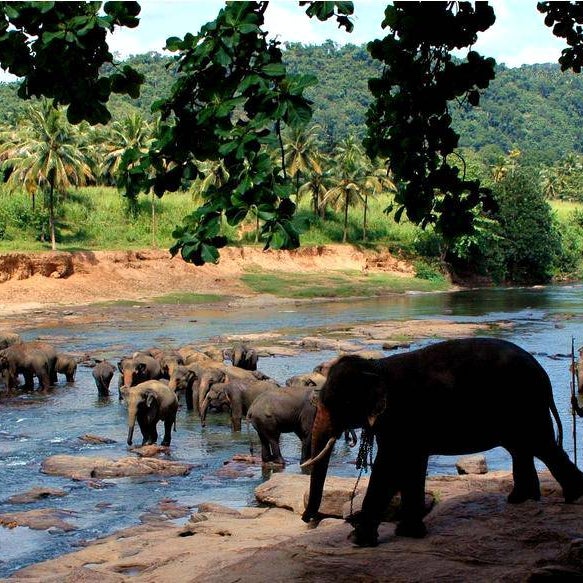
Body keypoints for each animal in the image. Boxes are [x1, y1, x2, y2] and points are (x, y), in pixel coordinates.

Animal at [304, 338, 583, 548]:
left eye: (342, 403)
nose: (308, 518)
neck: (376, 366)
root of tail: (542, 373)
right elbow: (409, 466)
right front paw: (408, 532)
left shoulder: (402, 416)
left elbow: (389, 467)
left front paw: (358, 539)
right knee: (522, 447)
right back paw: (522, 499)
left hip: (526, 402)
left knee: (541, 445)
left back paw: (572, 496)